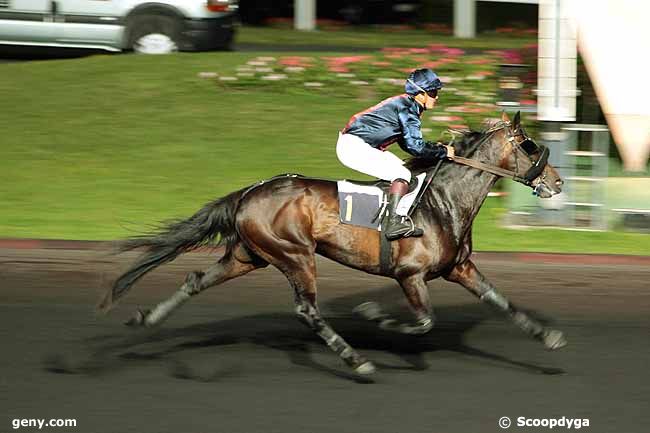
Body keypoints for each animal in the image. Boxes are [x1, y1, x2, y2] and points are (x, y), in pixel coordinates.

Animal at [100, 111, 560, 374]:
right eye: (527, 145)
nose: (556, 182)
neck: (442, 202)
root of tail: (248, 192)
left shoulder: (458, 268)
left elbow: (500, 300)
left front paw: (548, 337)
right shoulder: (409, 274)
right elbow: (425, 320)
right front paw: (374, 314)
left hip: (249, 255)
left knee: (195, 280)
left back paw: (147, 318)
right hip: (295, 254)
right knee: (307, 310)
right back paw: (356, 359)